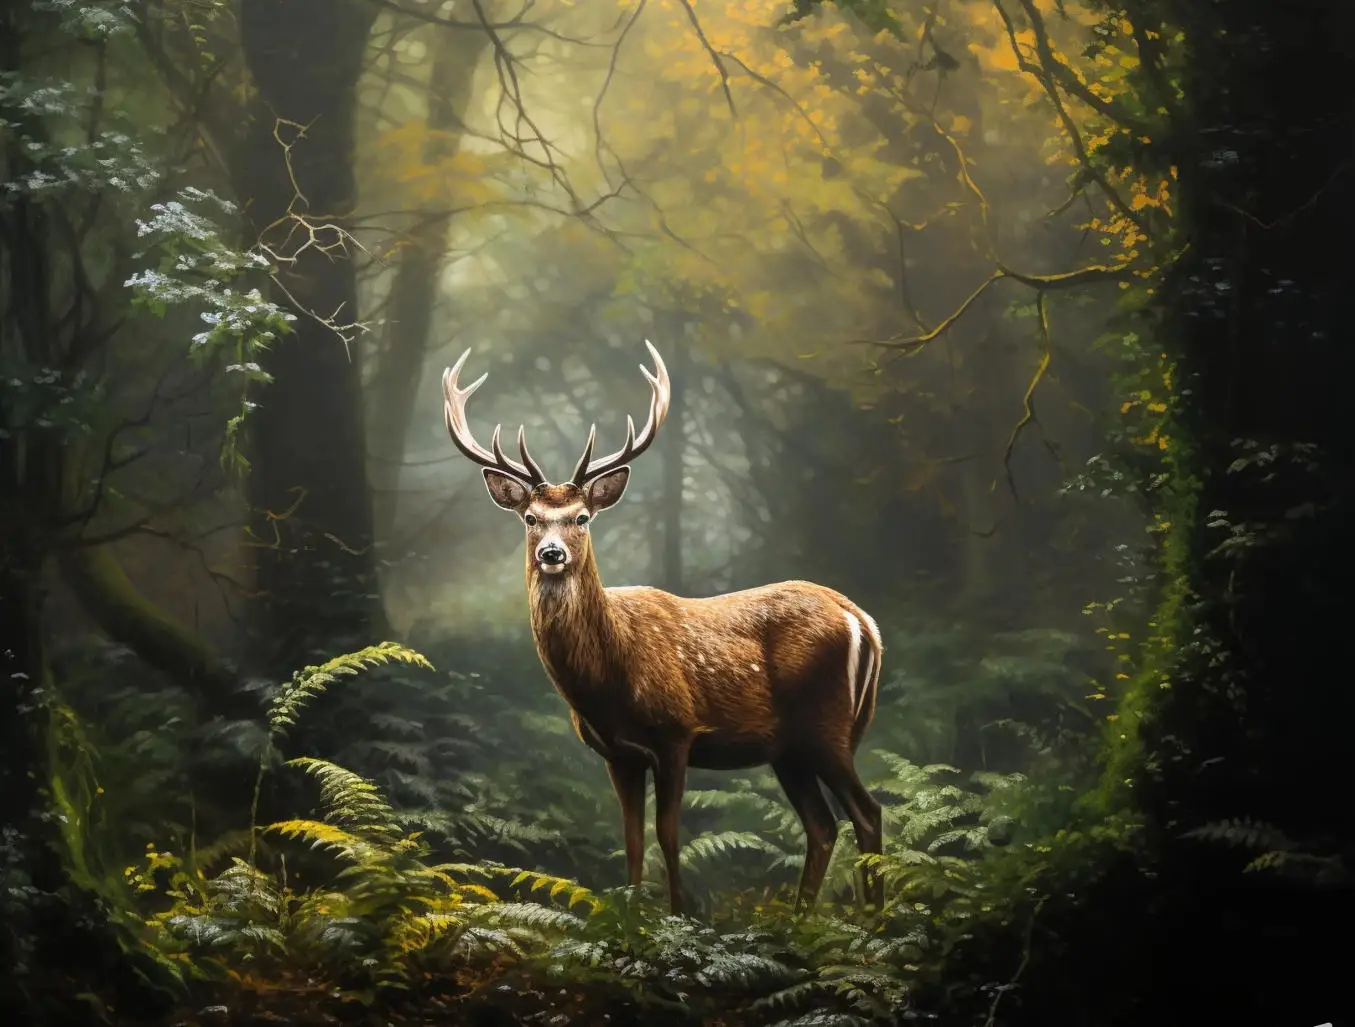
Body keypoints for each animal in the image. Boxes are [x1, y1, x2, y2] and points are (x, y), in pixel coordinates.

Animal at [441, 342, 885, 915]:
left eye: (582, 517)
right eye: (530, 518)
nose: (552, 554)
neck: (607, 682)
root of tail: (863, 620)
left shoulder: (678, 731)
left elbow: (669, 834)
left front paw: (680, 915)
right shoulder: (617, 754)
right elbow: (631, 839)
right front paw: (631, 916)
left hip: (826, 724)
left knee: (866, 812)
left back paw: (875, 922)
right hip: (789, 748)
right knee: (823, 825)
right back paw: (801, 919)